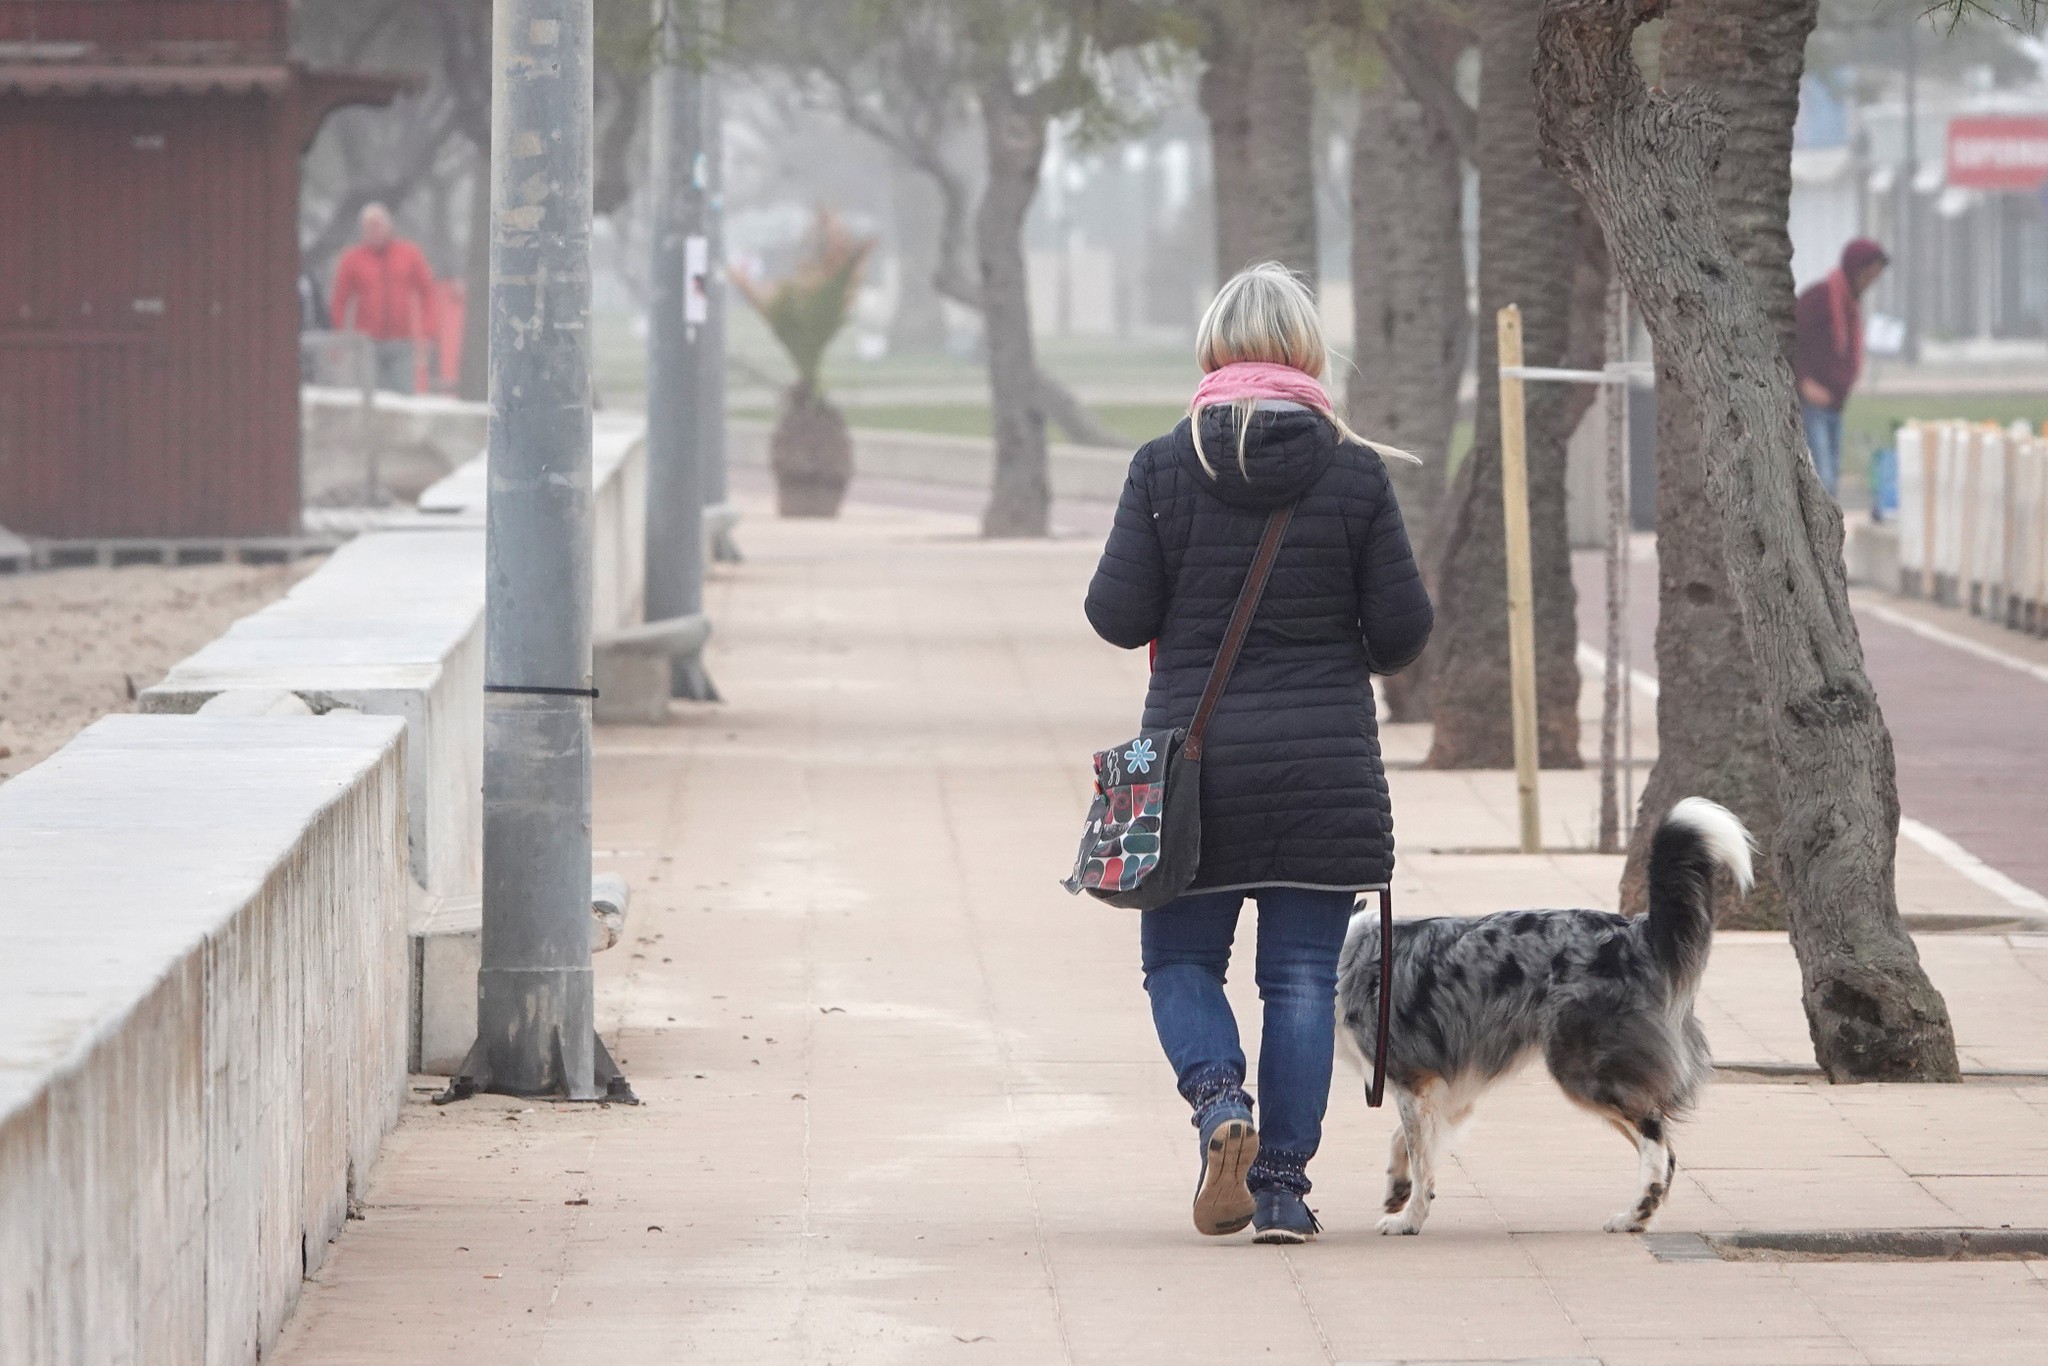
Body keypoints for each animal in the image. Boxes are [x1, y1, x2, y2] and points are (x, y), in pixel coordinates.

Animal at [1335, 802, 1753, 1236]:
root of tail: (1638, 933)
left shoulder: (1412, 1078)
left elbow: (1421, 1159)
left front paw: (1409, 1218)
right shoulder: (1445, 1087)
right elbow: (1407, 1141)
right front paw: (1398, 1188)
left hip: (1584, 1068)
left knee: (1656, 1138)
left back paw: (1637, 1210)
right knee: (1663, 1144)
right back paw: (1639, 1216)